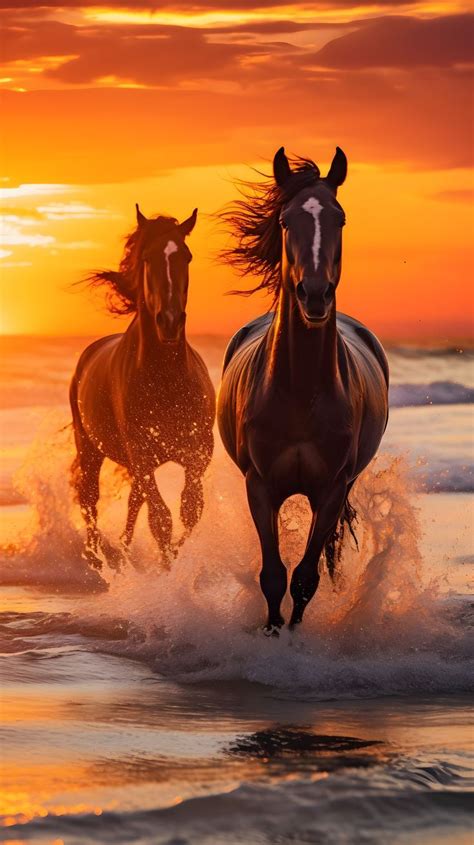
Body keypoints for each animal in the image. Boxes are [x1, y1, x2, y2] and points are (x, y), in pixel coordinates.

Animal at [70, 205, 215, 570]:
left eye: (186, 256)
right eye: (147, 257)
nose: (170, 322)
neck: (166, 380)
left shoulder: (198, 454)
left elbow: (190, 510)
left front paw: (172, 561)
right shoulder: (143, 454)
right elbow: (161, 518)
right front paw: (167, 570)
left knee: (134, 501)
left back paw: (122, 551)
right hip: (89, 448)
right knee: (89, 498)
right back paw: (98, 558)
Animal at [217, 147, 389, 634]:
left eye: (340, 218)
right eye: (286, 219)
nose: (314, 294)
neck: (299, 391)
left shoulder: (331, 490)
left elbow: (305, 578)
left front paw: (294, 637)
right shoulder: (260, 486)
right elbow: (273, 575)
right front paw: (273, 632)